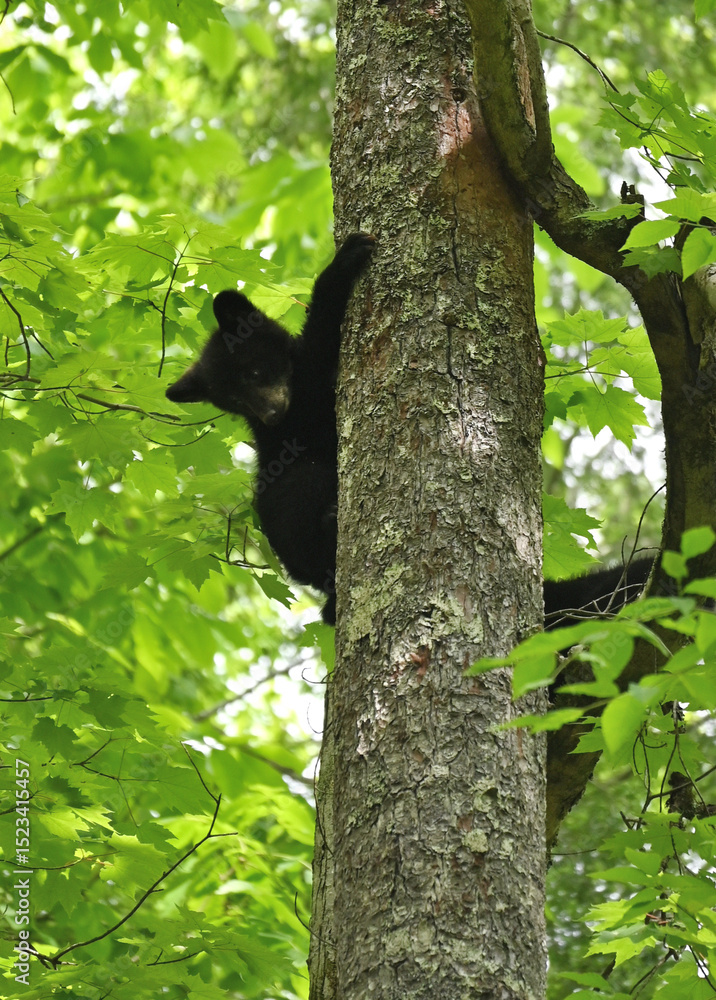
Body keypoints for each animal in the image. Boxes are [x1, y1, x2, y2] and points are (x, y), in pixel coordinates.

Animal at [166, 232, 376, 624]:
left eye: (253, 372)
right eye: (233, 401)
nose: (273, 416)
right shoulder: (308, 398)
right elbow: (322, 336)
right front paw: (343, 262)